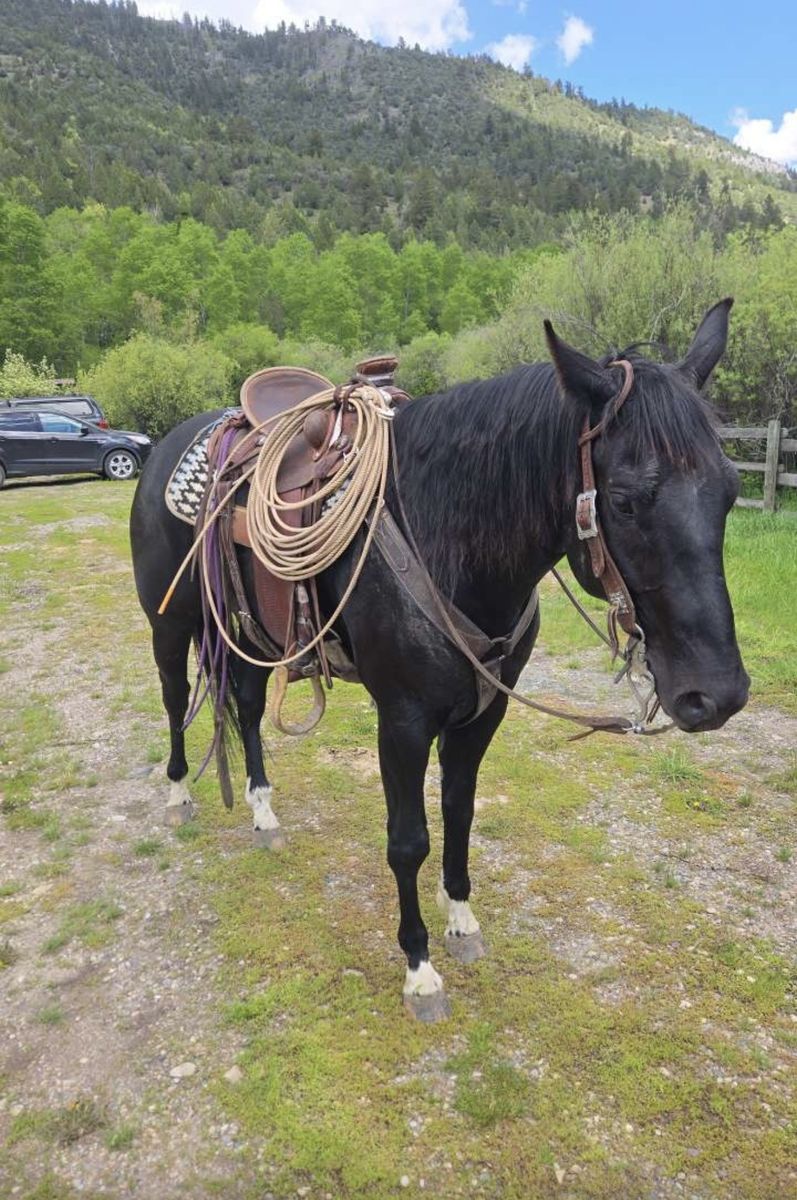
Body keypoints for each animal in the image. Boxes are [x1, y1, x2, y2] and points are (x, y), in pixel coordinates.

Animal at [130, 299, 749, 1020]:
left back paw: (263, 812)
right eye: (623, 499)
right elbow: (409, 840)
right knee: (176, 701)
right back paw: (178, 794)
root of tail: (175, 442)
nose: (716, 695)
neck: (445, 533)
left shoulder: (483, 712)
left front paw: (461, 922)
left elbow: (459, 814)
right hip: (171, 626)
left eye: (730, 491)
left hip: (252, 634)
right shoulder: (401, 721)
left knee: (250, 709)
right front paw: (419, 969)